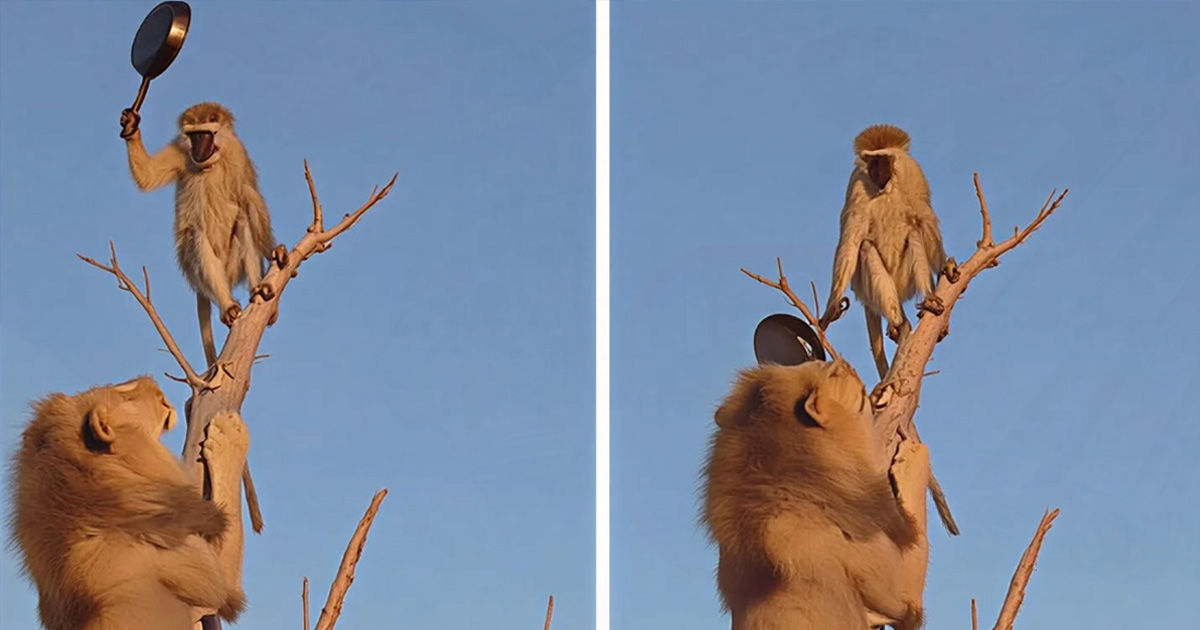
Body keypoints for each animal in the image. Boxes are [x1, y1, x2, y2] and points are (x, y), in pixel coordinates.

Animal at [121, 102, 279, 534]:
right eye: (192, 136)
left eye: (207, 134)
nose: (199, 152)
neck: (213, 163)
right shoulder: (181, 154)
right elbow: (149, 177)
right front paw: (130, 126)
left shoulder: (238, 156)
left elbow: (250, 197)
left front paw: (276, 252)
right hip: (199, 270)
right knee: (195, 236)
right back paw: (228, 307)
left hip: (234, 266)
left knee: (243, 217)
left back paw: (259, 292)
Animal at [818, 124, 948, 381]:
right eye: (872, 161)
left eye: (883, 160)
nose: (876, 171)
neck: (886, 189)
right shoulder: (857, 182)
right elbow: (851, 241)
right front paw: (831, 307)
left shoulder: (911, 171)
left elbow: (924, 216)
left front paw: (945, 267)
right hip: (869, 286)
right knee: (866, 247)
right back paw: (901, 325)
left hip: (903, 280)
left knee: (914, 232)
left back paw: (926, 301)